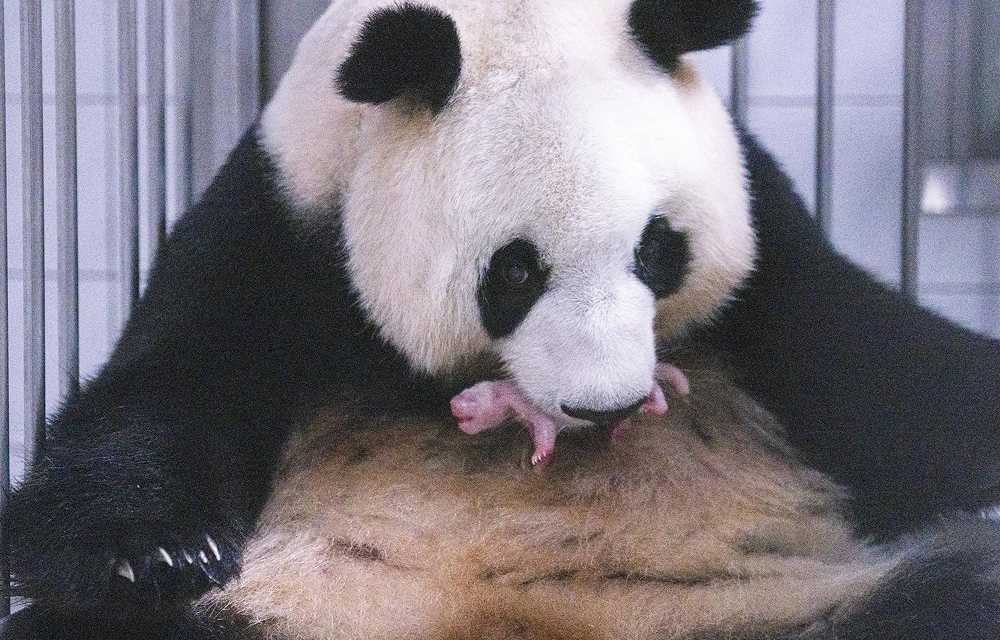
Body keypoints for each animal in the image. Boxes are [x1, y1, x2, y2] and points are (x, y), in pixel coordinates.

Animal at [5, 0, 1000, 638]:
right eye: (514, 273)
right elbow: (169, 381)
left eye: (657, 250)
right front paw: (150, 552)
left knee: (955, 593)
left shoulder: (771, 250)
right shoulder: (282, 223)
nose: (607, 406)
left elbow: (883, 367)